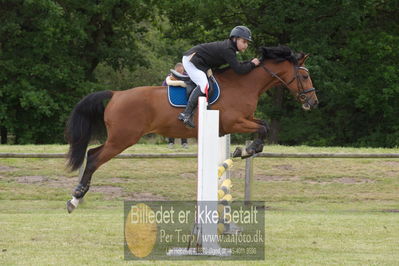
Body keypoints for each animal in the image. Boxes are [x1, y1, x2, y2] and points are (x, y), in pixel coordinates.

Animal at [67, 45, 320, 212]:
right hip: (122, 138)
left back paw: (77, 197)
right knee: (93, 158)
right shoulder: (234, 121)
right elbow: (264, 129)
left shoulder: (244, 119)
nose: (313, 102)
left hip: (120, 138)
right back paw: (75, 198)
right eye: (304, 76)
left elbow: (263, 126)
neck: (244, 84)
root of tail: (116, 94)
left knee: (91, 154)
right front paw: (246, 150)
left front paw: (247, 150)